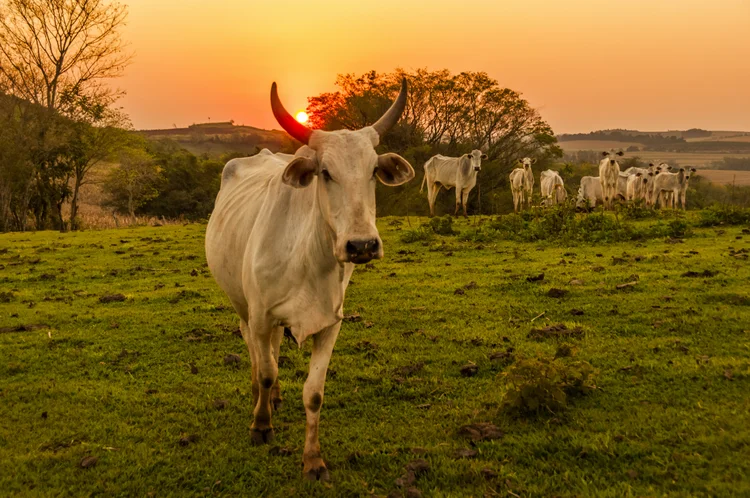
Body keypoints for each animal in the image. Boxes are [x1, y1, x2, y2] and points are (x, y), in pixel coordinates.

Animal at [206, 80, 418, 480]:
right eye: (326, 172)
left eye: (373, 171)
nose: (362, 245)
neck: (307, 261)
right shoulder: (260, 315)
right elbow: (267, 370)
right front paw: (261, 426)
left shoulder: (330, 324)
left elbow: (314, 393)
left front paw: (313, 459)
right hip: (243, 307)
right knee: (256, 354)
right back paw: (261, 398)